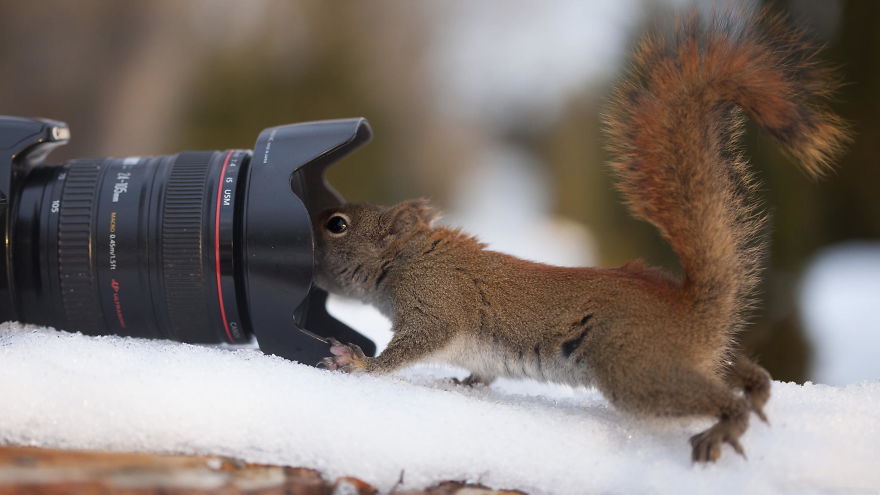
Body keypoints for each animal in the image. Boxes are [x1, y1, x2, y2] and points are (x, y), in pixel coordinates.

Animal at [313, 9, 848, 462]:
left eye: (337, 225)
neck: (408, 258)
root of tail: (694, 310)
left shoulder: (439, 303)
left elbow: (408, 350)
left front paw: (358, 364)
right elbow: (481, 370)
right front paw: (465, 384)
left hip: (636, 369)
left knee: (707, 397)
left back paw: (726, 425)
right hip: (682, 361)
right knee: (737, 369)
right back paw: (756, 387)